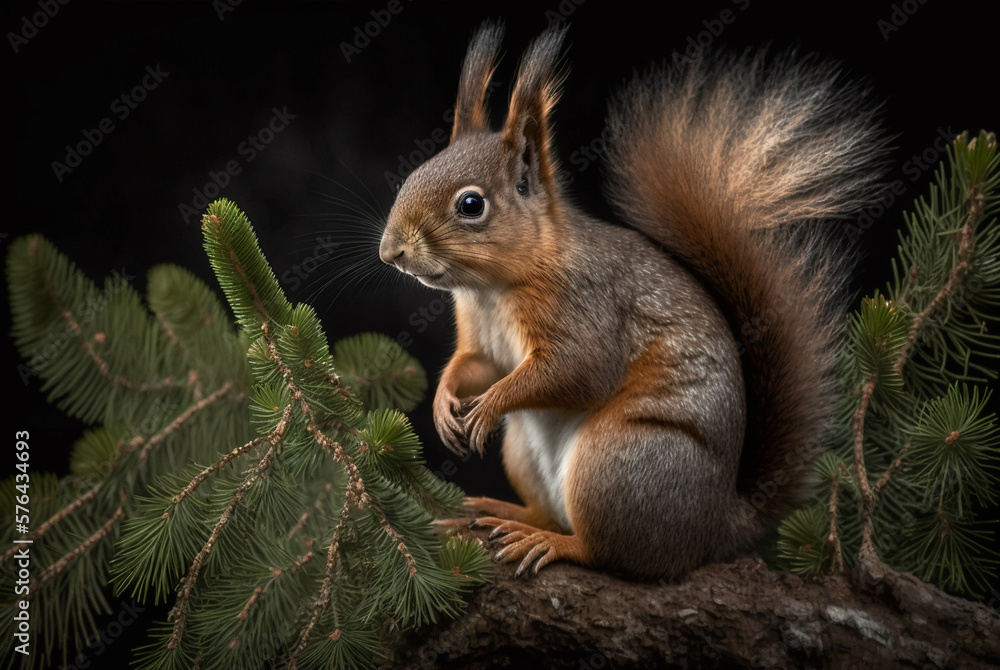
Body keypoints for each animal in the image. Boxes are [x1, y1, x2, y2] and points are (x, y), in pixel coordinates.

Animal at [378, 24, 885, 580]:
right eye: (410, 176)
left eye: (471, 205)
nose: (390, 252)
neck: (494, 289)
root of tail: (715, 529)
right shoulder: (481, 335)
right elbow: (476, 365)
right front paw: (444, 404)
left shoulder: (586, 306)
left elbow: (578, 369)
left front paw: (488, 405)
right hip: (526, 452)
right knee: (550, 512)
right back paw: (503, 512)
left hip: (620, 462)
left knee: (607, 550)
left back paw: (549, 542)